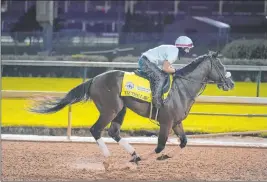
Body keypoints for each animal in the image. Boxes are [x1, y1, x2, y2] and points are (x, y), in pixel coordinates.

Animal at [29, 50, 234, 165]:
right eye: (220, 65)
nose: (231, 83)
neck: (181, 88)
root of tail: (95, 79)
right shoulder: (166, 122)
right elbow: (160, 146)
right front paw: (143, 159)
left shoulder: (176, 122)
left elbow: (183, 142)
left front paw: (160, 157)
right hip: (110, 109)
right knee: (96, 129)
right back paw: (109, 156)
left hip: (121, 110)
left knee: (113, 132)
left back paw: (133, 153)